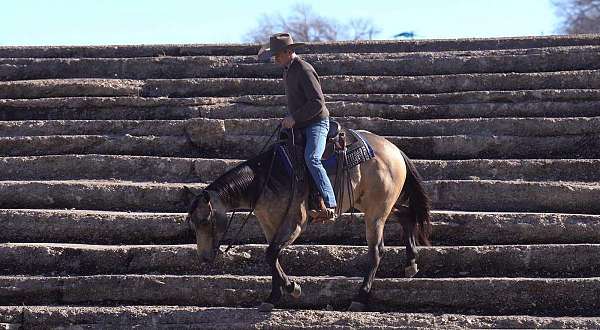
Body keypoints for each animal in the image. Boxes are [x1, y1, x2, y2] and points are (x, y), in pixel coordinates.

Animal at [184, 124, 432, 312]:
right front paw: (273, 297)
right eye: (192, 225)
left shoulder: (295, 224)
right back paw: (411, 264)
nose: (204, 258)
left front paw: (292, 288)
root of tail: (394, 149)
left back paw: (360, 298)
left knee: (377, 251)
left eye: (205, 221)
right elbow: (272, 257)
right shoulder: (270, 225)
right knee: (406, 215)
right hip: (374, 205)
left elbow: (271, 254)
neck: (264, 179)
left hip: (376, 212)